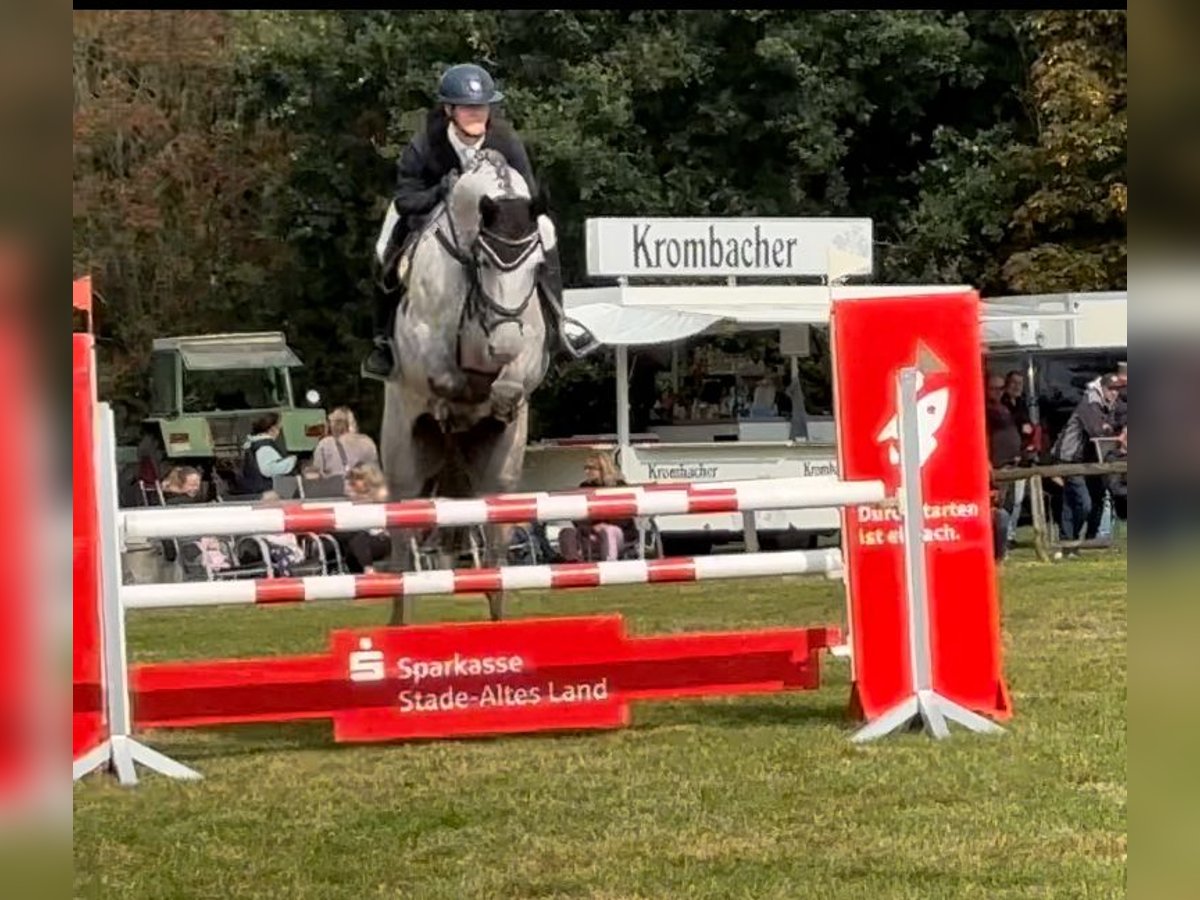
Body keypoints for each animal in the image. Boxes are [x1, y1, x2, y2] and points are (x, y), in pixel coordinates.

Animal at [379, 150, 552, 628]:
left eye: (537, 266)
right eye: (484, 262)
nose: (502, 344)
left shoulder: (529, 345)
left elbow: (512, 380)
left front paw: (499, 397)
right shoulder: (421, 343)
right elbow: (445, 378)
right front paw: (453, 405)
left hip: (501, 475)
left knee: (494, 543)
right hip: (403, 460)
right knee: (401, 544)